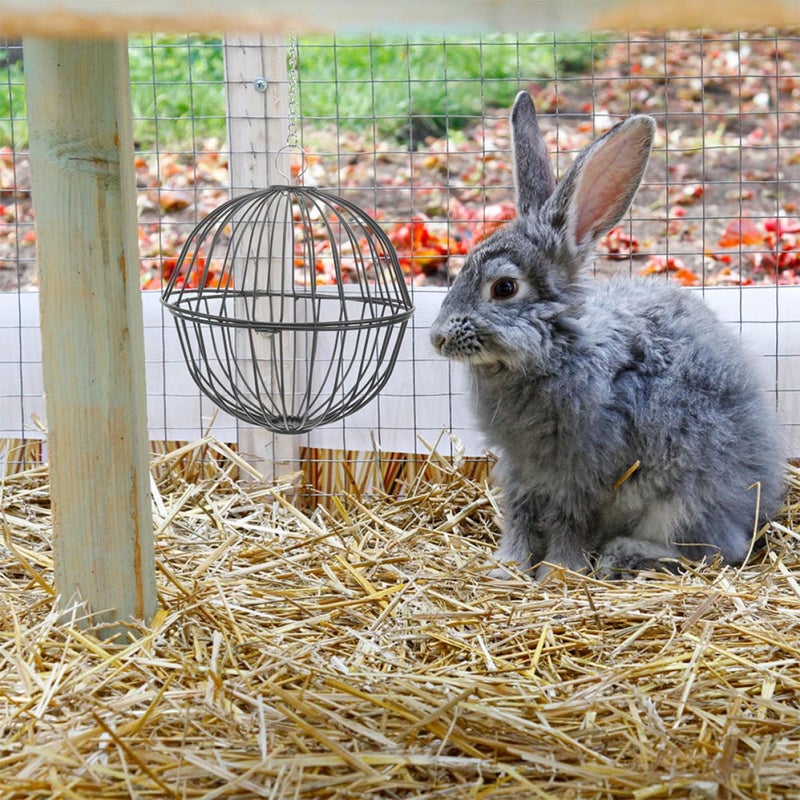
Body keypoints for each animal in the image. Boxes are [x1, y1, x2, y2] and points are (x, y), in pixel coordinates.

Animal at [430, 91, 785, 580]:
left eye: (504, 288)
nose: (437, 338)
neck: (558, 349)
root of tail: (761, 503)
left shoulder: (583, 475)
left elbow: (569, 523)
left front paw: (558, 572)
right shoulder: (520, 470)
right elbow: (519, 516)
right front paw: (507, 568)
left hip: (683, 501)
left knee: (715, 550)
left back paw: (623, 555)